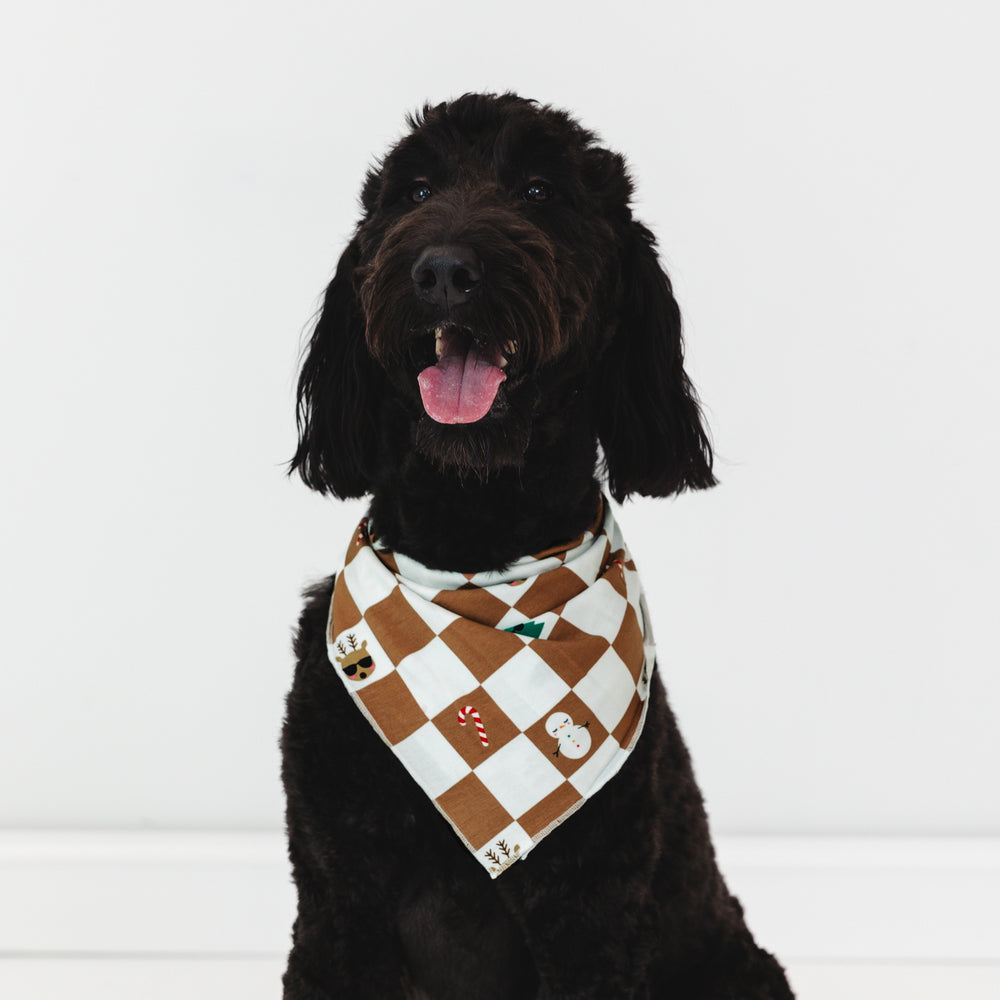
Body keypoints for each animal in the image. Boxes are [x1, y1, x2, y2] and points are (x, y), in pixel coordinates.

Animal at [280, 94, 788, 1000]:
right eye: (414, 191)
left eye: (541, 191)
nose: (444, 270)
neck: (475, 556)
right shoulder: (336, 899)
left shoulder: (592, 915)